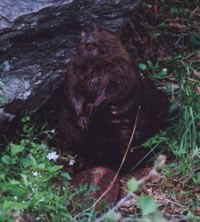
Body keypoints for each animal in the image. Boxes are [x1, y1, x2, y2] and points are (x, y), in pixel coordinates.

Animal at [58, 23, 170, 171]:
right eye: (83, 30)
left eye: (101, 29)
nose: (87, 28)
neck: (95, 63)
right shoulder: (73, 68)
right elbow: (72, 90)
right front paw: (82, 119)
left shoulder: (121, 66)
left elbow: (116, 88)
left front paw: (94, 107)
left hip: (158, 100)